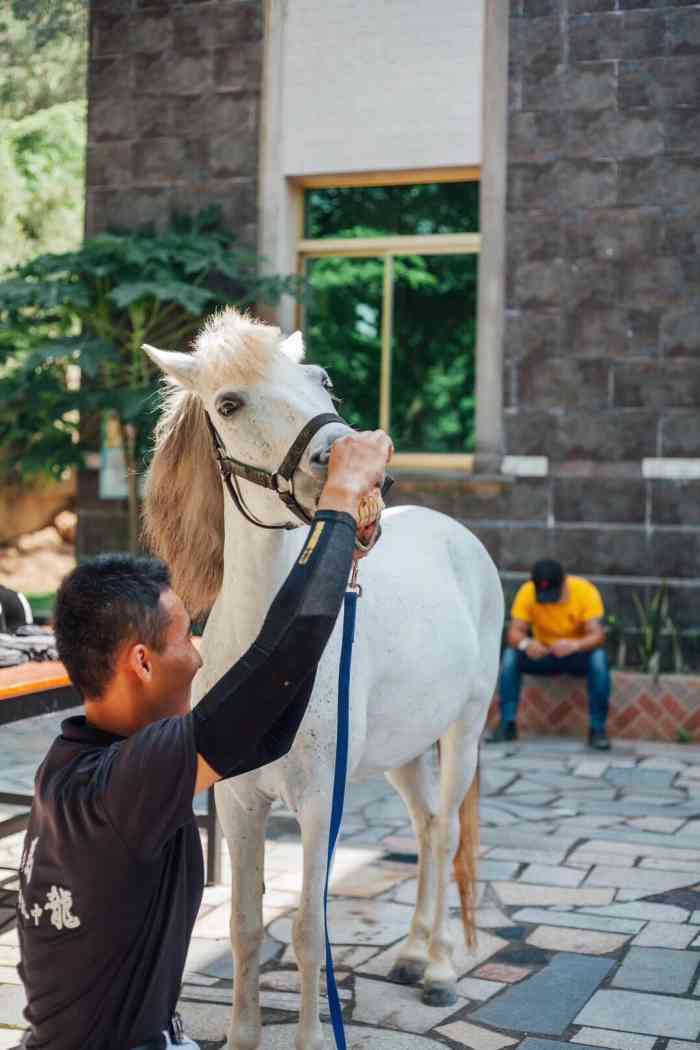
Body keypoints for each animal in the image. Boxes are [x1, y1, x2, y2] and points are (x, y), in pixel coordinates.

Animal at [142, 306, 503, 1045]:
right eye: (228, 403)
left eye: (321, 378)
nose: (361, 466)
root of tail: (456, 534)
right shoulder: (239, 801)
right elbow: (245, 927)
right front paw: (244, 1034)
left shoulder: (319, 803)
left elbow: (310, 932)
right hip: (402, 752)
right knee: (425, 826)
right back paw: (412, 952)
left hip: (464, 729)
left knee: (447, 831)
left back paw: (438, 968)